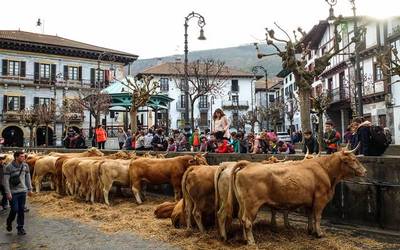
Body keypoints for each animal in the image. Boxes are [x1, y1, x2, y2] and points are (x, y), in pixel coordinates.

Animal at [231, 146, 366, 244]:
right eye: (353, 159)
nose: (365, 171)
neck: (325, 170)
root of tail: (249, 164)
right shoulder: (320, 199)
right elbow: (317, 217)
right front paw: (319, 233)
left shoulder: (310, 201)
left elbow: (310, 216)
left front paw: (310, 230)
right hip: (252, 205)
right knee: (247, 221)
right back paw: (251, 242)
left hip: (243, 204)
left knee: (241, 219)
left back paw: (245, 239)